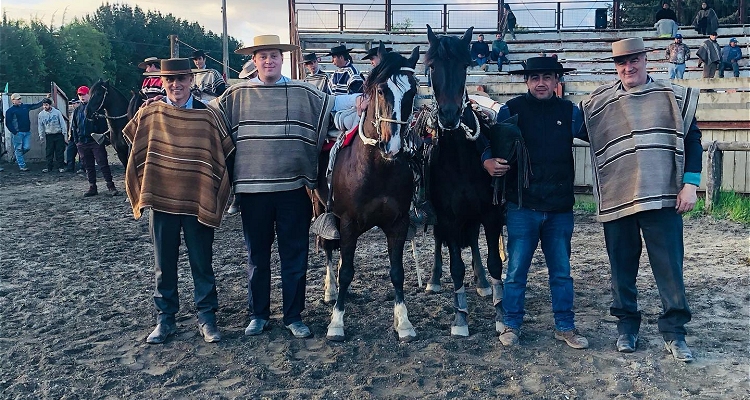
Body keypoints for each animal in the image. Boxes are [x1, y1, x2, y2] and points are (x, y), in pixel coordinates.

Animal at [324, 44, 424, 344]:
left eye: (412, 91)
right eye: (381, 91)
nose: (393, 145)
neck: (377, 169)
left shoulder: (398, 223)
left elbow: (397, 272)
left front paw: (403, 322)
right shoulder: (347, 223)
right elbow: (346, 271)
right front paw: (337, 322)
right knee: (328, 249)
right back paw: (330, 291)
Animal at [426, 25, 508, 338]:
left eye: (463, 66)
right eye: (432, 66)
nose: (449, 116)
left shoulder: (491, 213)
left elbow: (495, 262)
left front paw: (501, 315)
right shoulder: (448, 216)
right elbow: (456, 267)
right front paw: (460, 318)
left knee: (472, 239)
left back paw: (483, 283)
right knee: (440, 241)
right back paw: (434, 279)